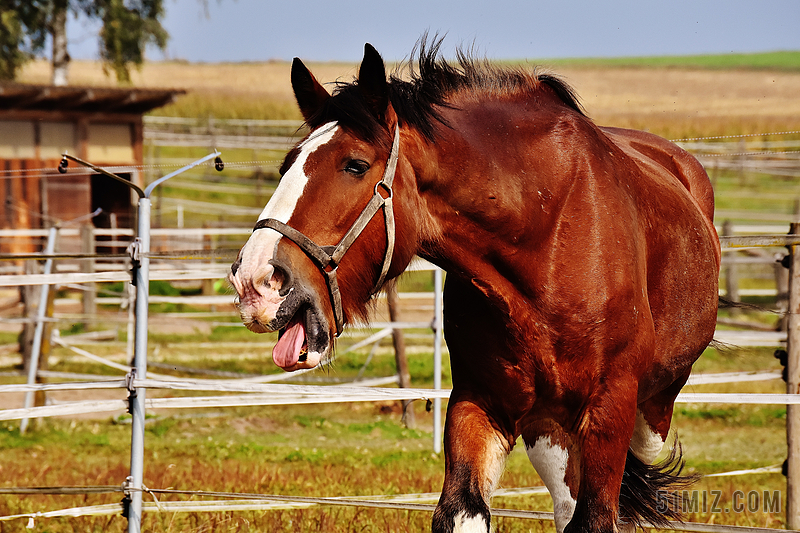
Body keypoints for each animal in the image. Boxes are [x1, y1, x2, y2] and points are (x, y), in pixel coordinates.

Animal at [228, 41, 720, 532]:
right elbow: (464, 510)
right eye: (286, 165)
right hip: (549, 428)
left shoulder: (609, 410)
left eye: (355, 165)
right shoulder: (478, 403)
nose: (254, 281)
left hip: (647, 415)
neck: (547, 234)